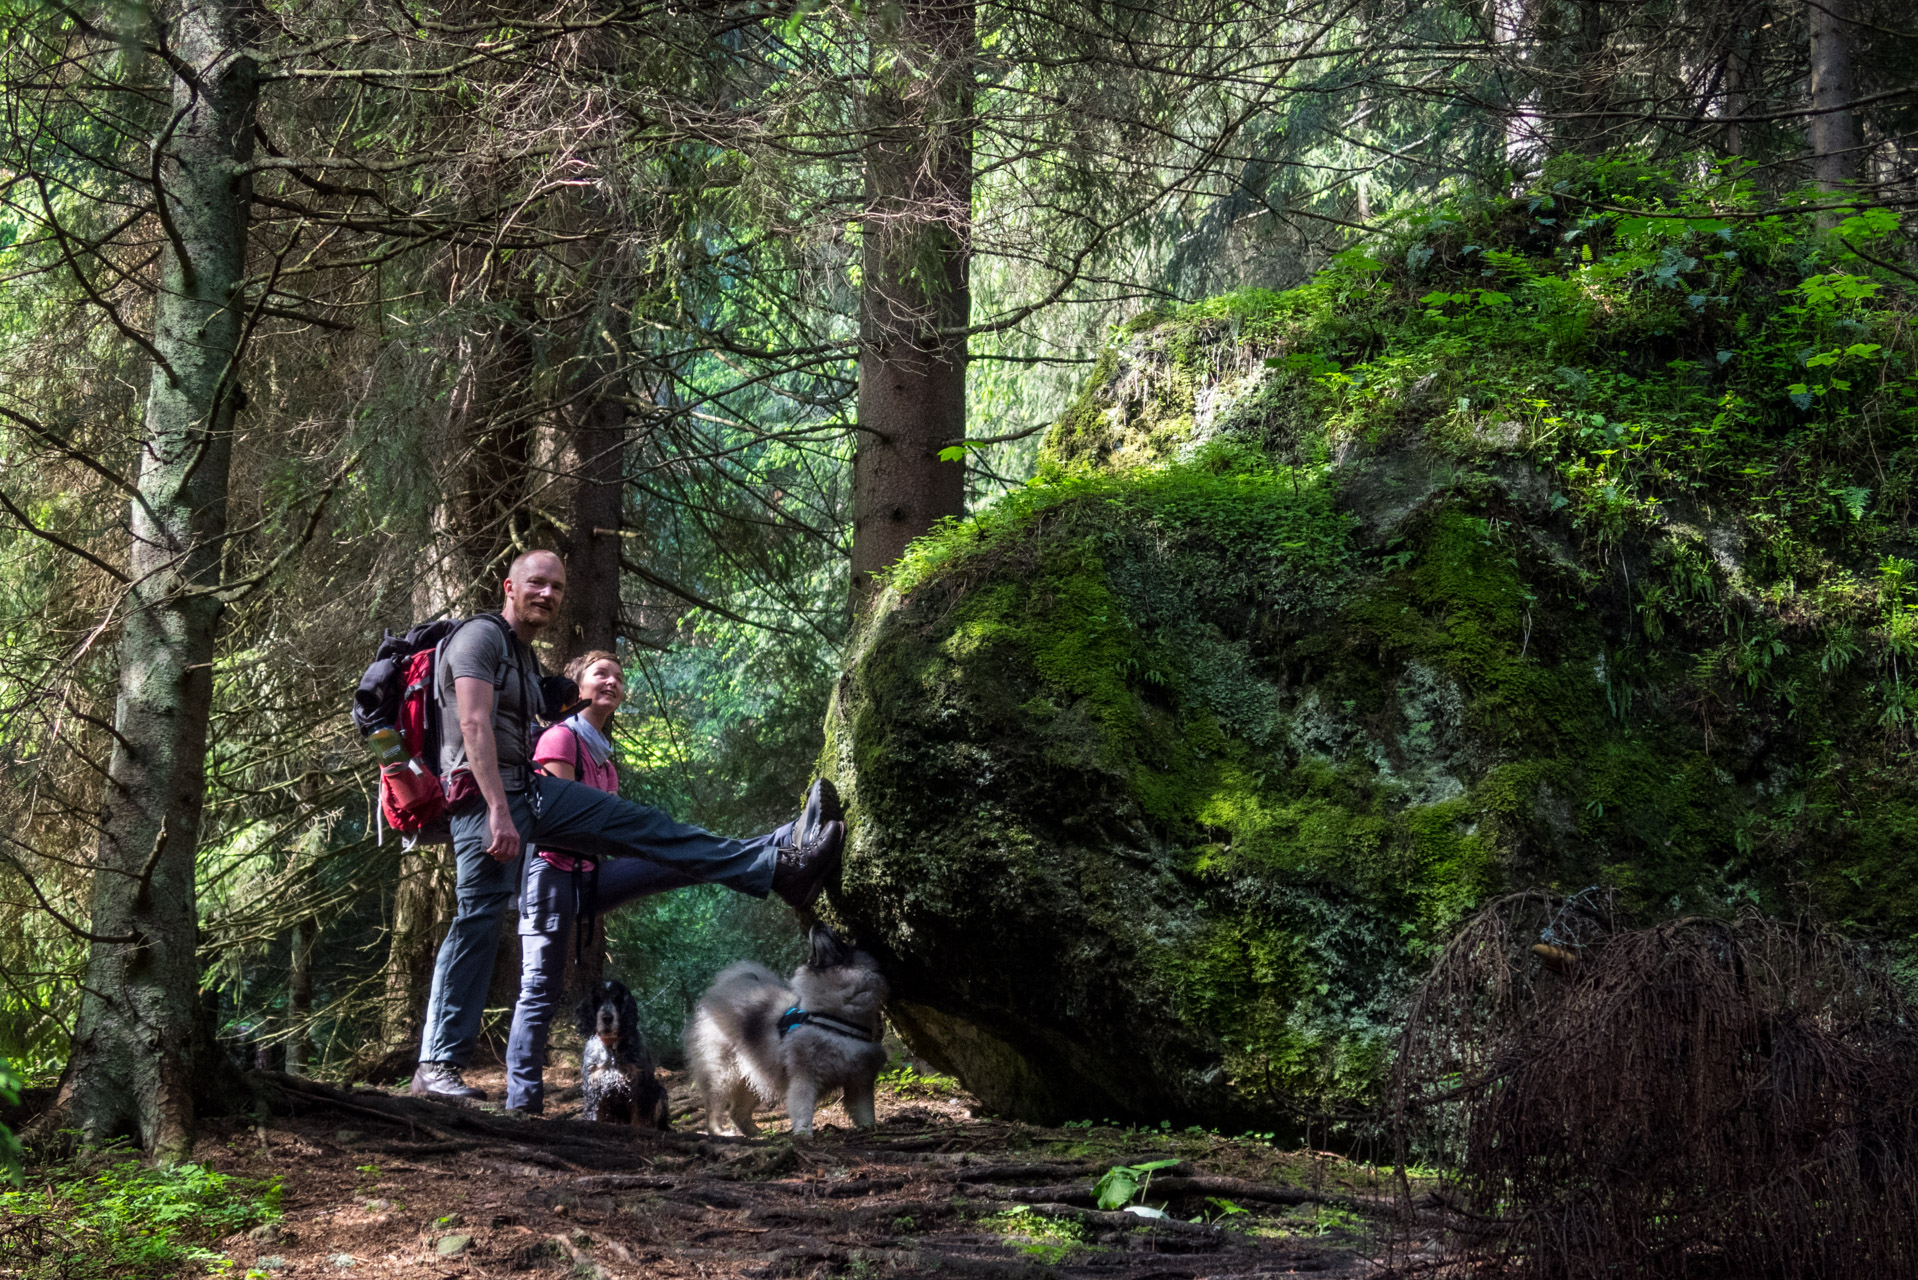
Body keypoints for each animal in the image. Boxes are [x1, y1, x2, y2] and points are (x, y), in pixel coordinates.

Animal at [686, 924, 886, 1136]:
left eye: (843, 942)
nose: (818, 924)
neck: (837, 1016)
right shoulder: (804, 1078)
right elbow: (803, 1110)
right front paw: (803, 1135)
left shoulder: (860, 1082)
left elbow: (865, 1112)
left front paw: (870, 1129)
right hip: (724, 1075)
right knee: (713, 1107)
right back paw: (719, 1132)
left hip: (756, 1074)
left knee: (737, 1112)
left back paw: (758, 1134)